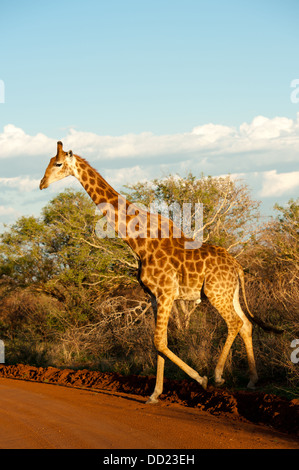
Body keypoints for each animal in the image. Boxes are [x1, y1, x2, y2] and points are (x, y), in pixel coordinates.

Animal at [40, 140, 284, 404]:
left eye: (58, 163)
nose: (42, 183)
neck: (138, 241)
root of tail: (237, 266)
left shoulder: (167, 293)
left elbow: (159, 341)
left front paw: (200, 380)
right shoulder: (154, 297)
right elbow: (159, 343)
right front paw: (155, 394)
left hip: (215, 293)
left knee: (234, 322)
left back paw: (217, 376)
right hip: (229, 293)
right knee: (247, 324)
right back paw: (252, 380)